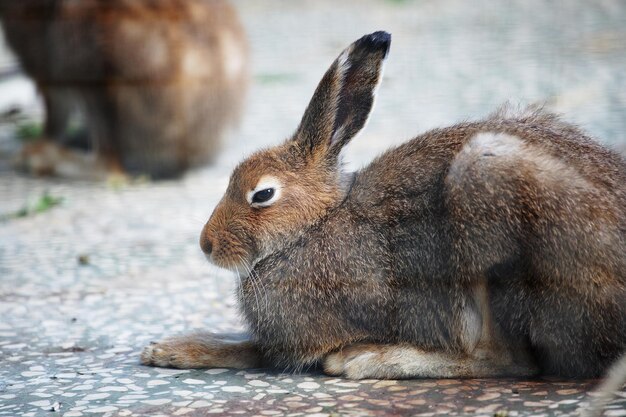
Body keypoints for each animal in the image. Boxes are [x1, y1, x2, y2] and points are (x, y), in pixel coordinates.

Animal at [141, 31, 624, 376]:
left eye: (262, 195)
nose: (206, 245)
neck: (315, 225)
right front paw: (165, 349)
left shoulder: (311, 333)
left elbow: (252, 351)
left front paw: (177, 349)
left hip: (488, 190)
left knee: (508, 361)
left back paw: (374, 360)